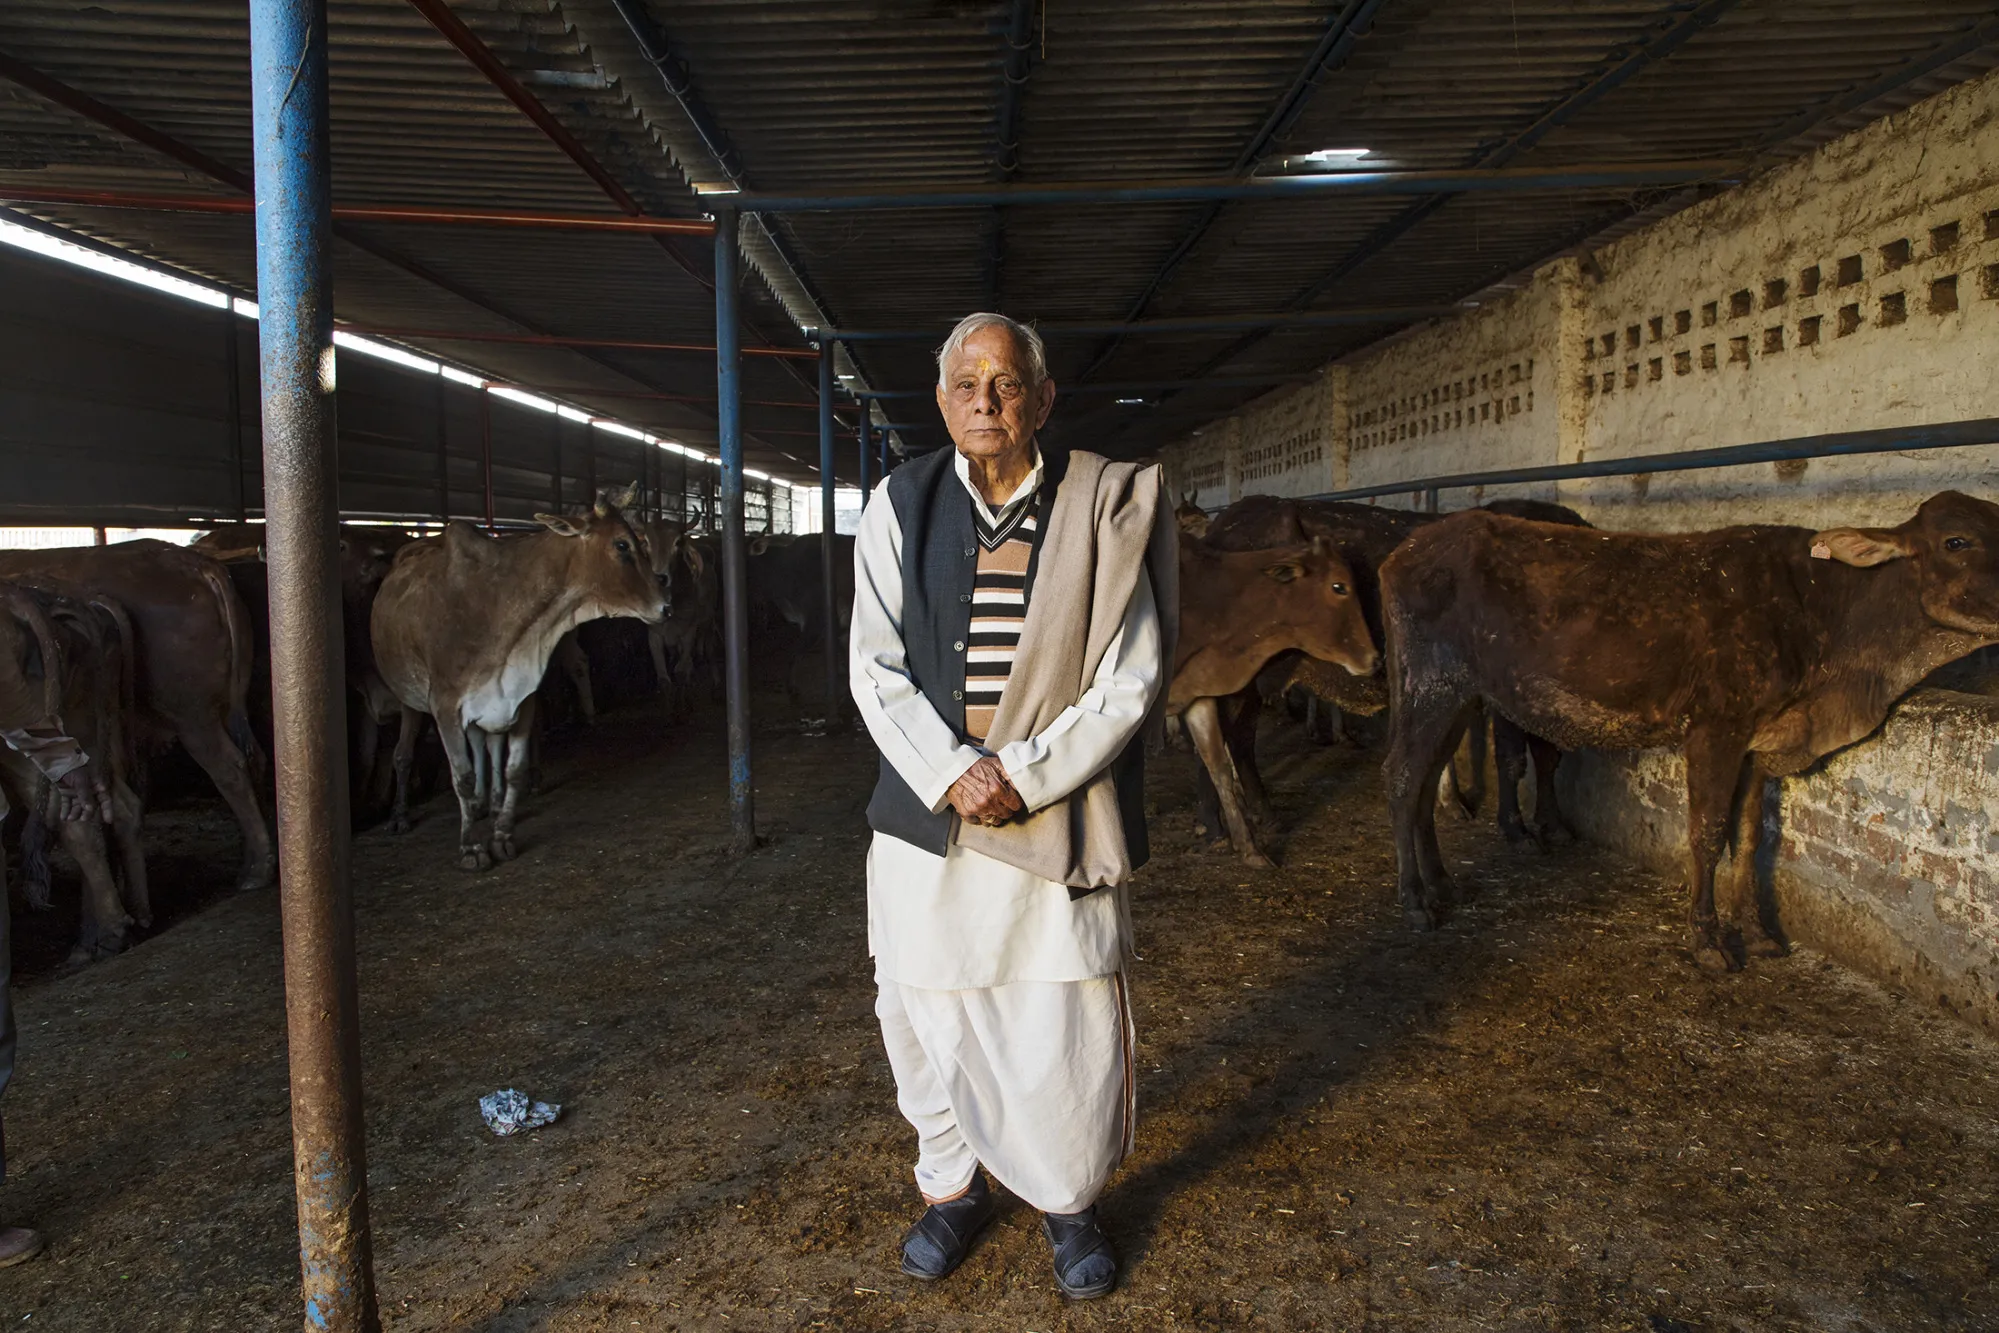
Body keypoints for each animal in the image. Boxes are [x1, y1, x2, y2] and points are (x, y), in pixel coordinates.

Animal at [0, 542, 271, 891]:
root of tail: (198, 566)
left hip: (193, 717)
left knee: (231, 769)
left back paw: (257, 869)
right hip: (224, 707)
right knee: (255, 759)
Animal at [370, 486, 666, 870]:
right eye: (622, 545)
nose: (665, 606)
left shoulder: (520, 697)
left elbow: (513, 768)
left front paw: (502, 836)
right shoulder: (446, 706)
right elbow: (462, 775)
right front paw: (471, 847)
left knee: (487, 746)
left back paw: (490, 802)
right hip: (412, 700)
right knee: (405, 754)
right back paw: (404, 815)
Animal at [1377, 491, 1999, 970]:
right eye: (1957, 542)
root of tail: (1407, 548)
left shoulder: (1759, 740)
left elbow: (1748, 836)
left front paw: (1756, 933)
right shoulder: (1715, 727)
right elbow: (1705, 833)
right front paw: (1706, 940)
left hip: (1461, 694)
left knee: (1426, 781)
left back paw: (1442, 885)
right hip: (1432, 682)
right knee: (1403, 779)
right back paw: (1414, 901)